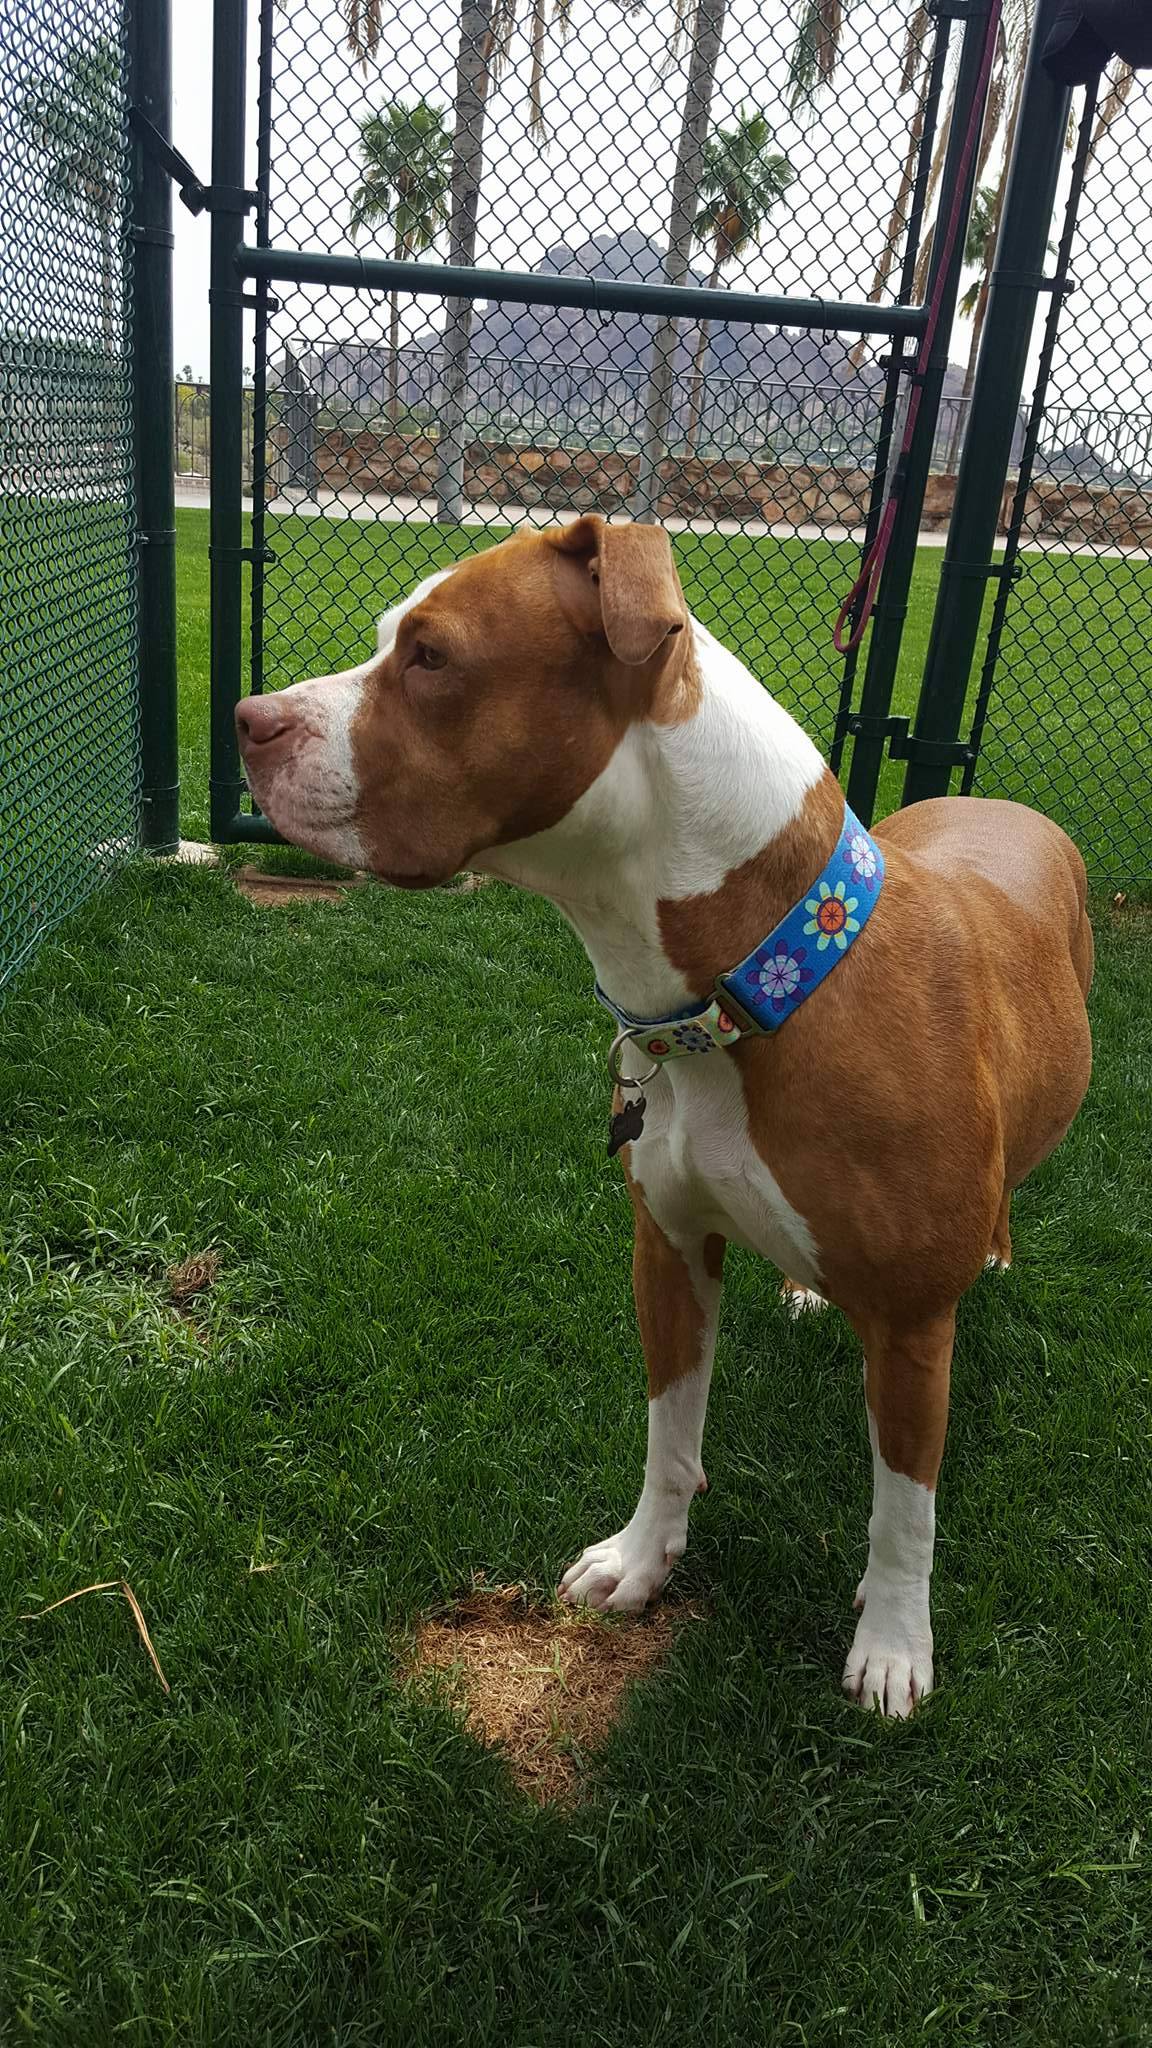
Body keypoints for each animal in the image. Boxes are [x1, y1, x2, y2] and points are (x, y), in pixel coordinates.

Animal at [236, 515, 1093, 1716]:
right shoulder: (669, 1248)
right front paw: (642, 1561)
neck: (735, 1002)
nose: (246, 720)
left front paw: (893, 1645)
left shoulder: (919, 1325)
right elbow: (668, 1433)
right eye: (385, 639)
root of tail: (998, 799)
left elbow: (904, 1511)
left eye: (433, 656)